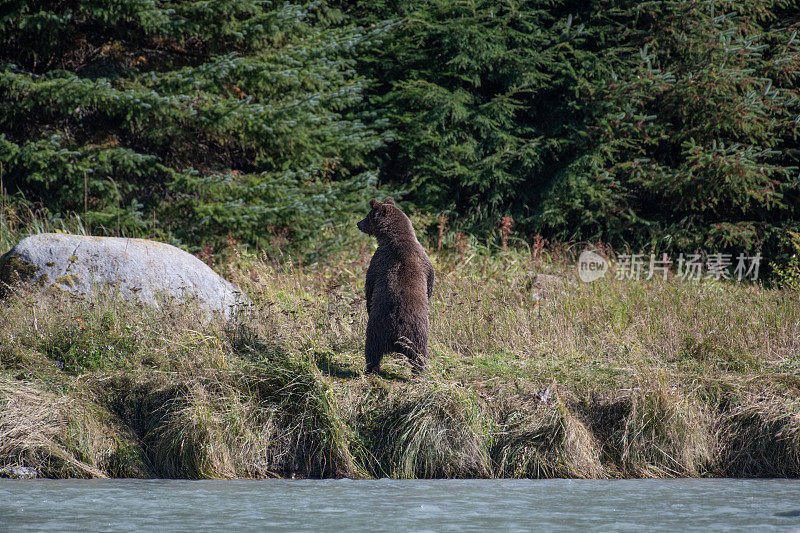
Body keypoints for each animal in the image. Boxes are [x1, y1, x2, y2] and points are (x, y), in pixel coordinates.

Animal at [356, 196, 434, 374]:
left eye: (368, 215)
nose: (358, 223)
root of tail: (397, 336)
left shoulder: (377, 261)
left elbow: (369, 287)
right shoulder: (424, 261)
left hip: (379, 330)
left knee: (372, 350)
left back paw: (371, 369)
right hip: (413, 336)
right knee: (418, 355)